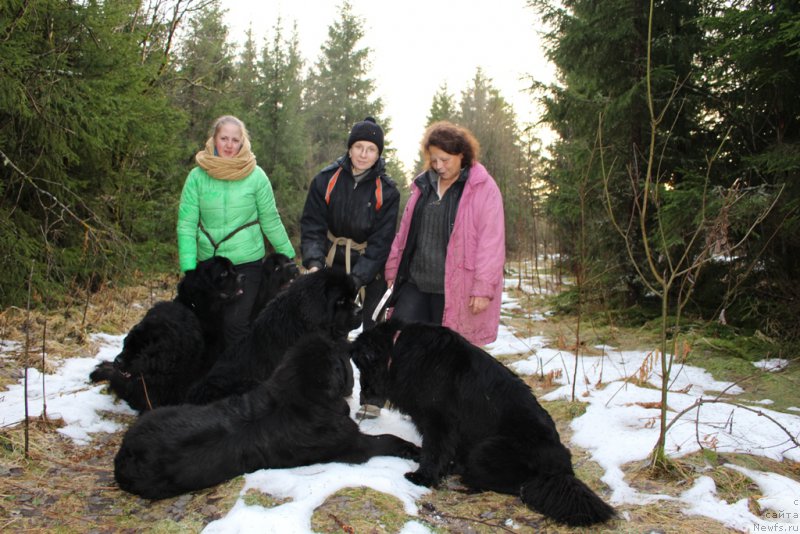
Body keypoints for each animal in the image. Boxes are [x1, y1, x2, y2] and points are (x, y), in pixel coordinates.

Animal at [117, 336, 424, 502]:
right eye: (341, 355)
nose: (350, 343)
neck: (303, 395)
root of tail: (124, 453)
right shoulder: (352, 445)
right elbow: (386, 439)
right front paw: (414, 449)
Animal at [352, 320, 620, 528]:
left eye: (363, 367)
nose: (365, 395)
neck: (397, 350)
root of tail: (561, 469)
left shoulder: (440, 420)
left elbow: (434, 450)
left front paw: (422, 477)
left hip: (487, 449)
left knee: (516, 485)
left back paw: (467, 477)